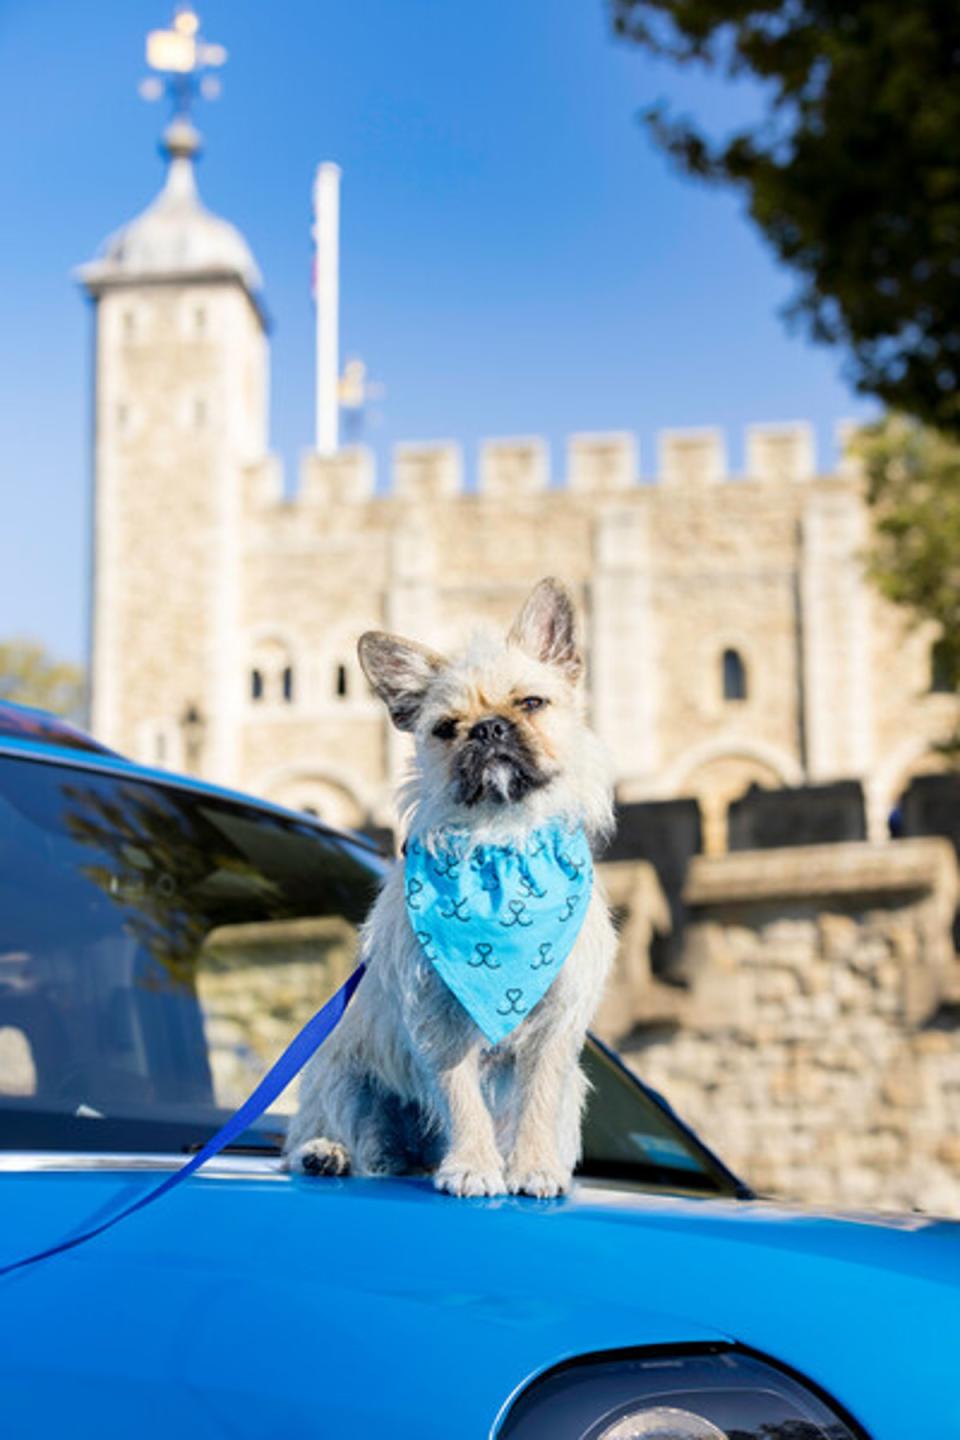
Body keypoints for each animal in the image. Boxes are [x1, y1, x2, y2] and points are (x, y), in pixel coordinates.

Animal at [284, 578, 616, 1198]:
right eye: (444, 728)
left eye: (530, 704)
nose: (488, 728)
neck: (500, 845)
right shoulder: (436, 1017)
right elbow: (461, 1097)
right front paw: (471, 1165)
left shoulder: (556, 1026)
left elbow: (538, 1097)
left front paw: (535, 1167)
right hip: (340, 1072)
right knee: (330, 1138)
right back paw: (325, 1153)